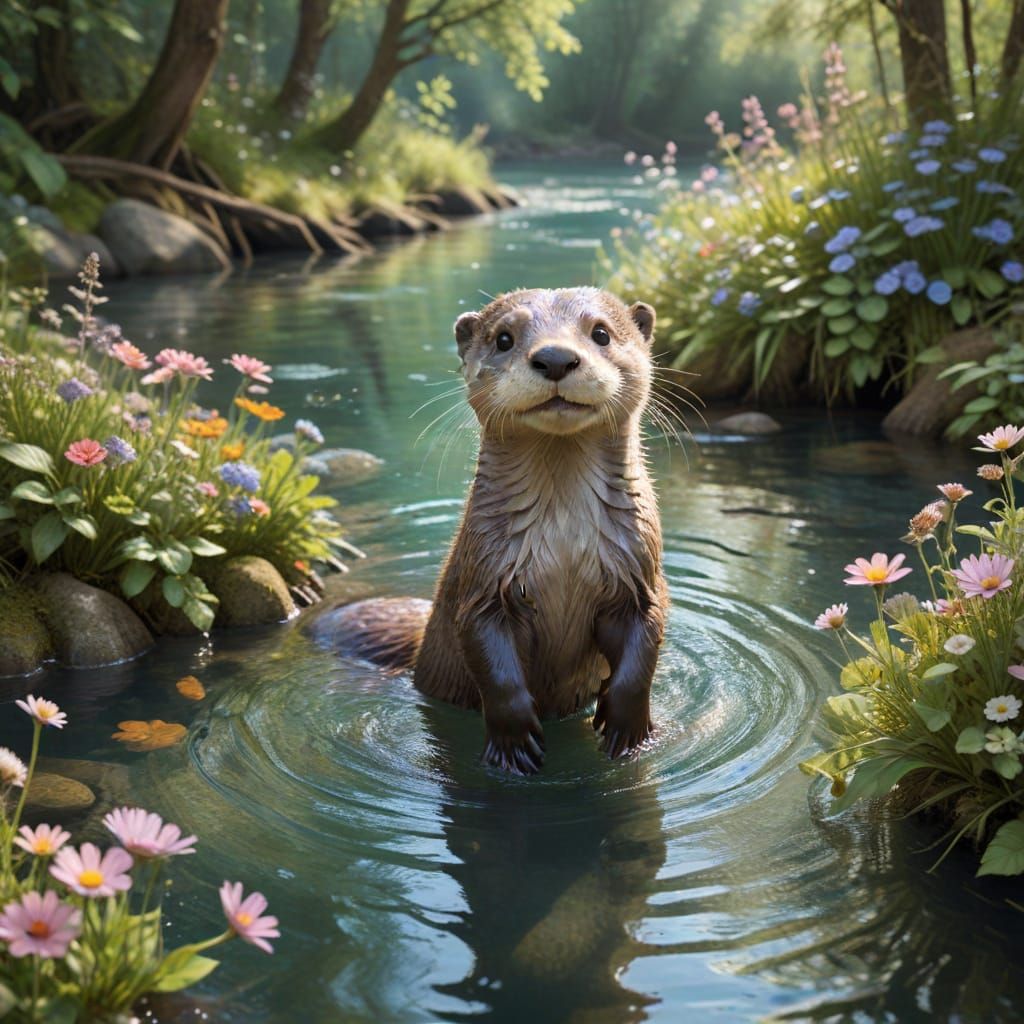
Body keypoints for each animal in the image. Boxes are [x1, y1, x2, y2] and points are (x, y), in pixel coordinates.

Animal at [319, 287, 668, 774]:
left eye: (601, 332)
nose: (555, 357)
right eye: (504, 338)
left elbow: (644, 641)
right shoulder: (484, 579)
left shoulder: (638, 570)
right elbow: (490, 657)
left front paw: (628, 728)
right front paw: (513, 741)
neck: (564, 548)